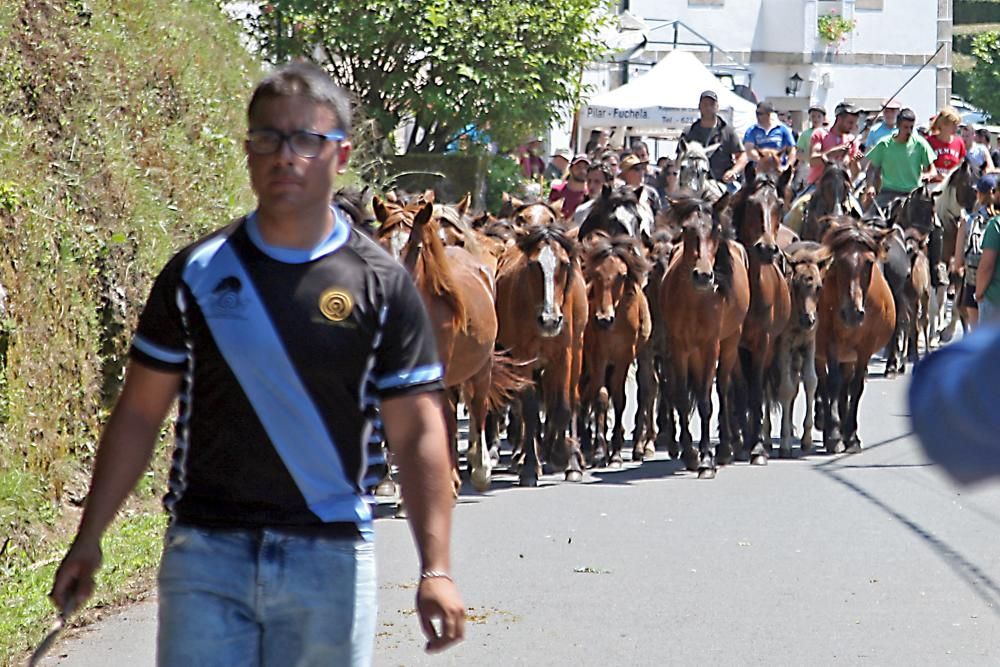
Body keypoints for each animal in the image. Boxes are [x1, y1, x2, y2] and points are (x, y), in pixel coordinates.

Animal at [496, 202, 588, 486]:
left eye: (564, 264)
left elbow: (563, 406)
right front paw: (529, 466)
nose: (549, 320)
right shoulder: (522, 355)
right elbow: (530, 410)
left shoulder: (565, 353)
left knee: (571, 399)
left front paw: (561, 455)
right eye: (533, 265)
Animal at [576, 235, 652, 470]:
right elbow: (600, 397)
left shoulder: (623, 357)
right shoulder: (598, 356)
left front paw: (616, 453)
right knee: (585, 393)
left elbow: (619, 399)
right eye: (596, 274)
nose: (603, 319)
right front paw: (601, 452)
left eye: (623, 274)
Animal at [656, 196, 752, 478]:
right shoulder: (678, 347)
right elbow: (681, 398)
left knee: (723, 388)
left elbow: (707, 402)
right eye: (687, 229)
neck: (694, 300)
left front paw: (707, 459)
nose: (703, 275)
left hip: (729, 343)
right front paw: (690, 453)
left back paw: (726, 449)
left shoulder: (710, 346)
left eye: (716, 230)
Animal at [816, 219, 896, 454]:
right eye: (838, 262)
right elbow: (832, 384)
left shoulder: (865, 348)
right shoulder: (829, 343)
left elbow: (855, 386)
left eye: (869, 263)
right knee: (825, 384)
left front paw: (851, 436)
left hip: (849, 355)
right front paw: (834, 435)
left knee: (846, 384)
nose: (852, 313)